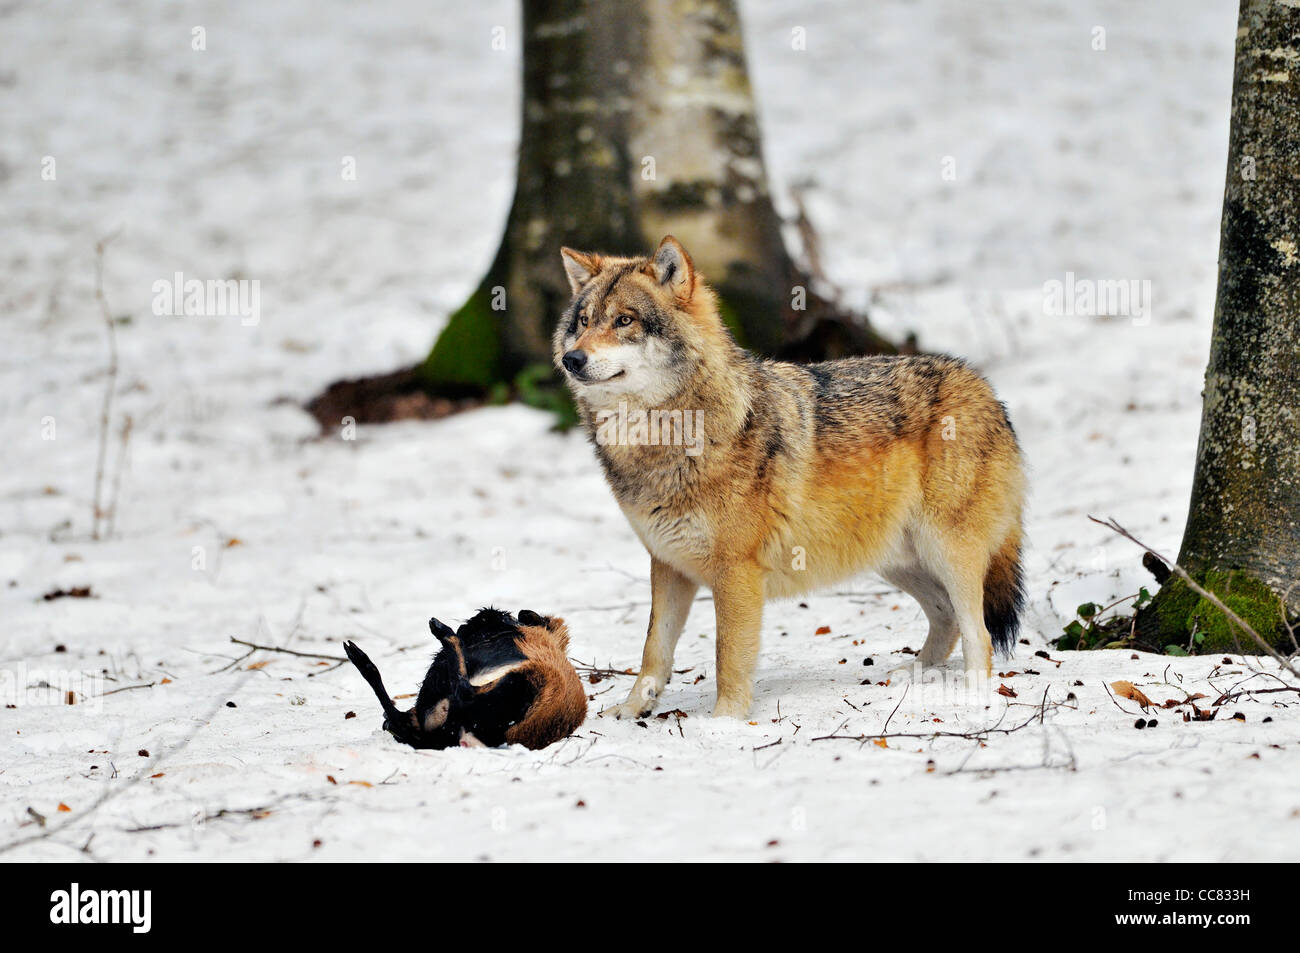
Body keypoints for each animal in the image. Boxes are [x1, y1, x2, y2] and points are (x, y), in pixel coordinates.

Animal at [548, 236, 1024, 712]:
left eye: (624, 320)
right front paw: (630, 712)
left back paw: (972, 696)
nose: (572, 359)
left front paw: (725, 721)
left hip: (946, 551)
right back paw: (914, 675)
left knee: (979, 631)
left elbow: (727, 658)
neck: (670, 439)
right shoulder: (667, 565)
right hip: (895, 559)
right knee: (946, 618)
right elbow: (653, 651)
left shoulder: (736, 572)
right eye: (584, 322)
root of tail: (984, 387)